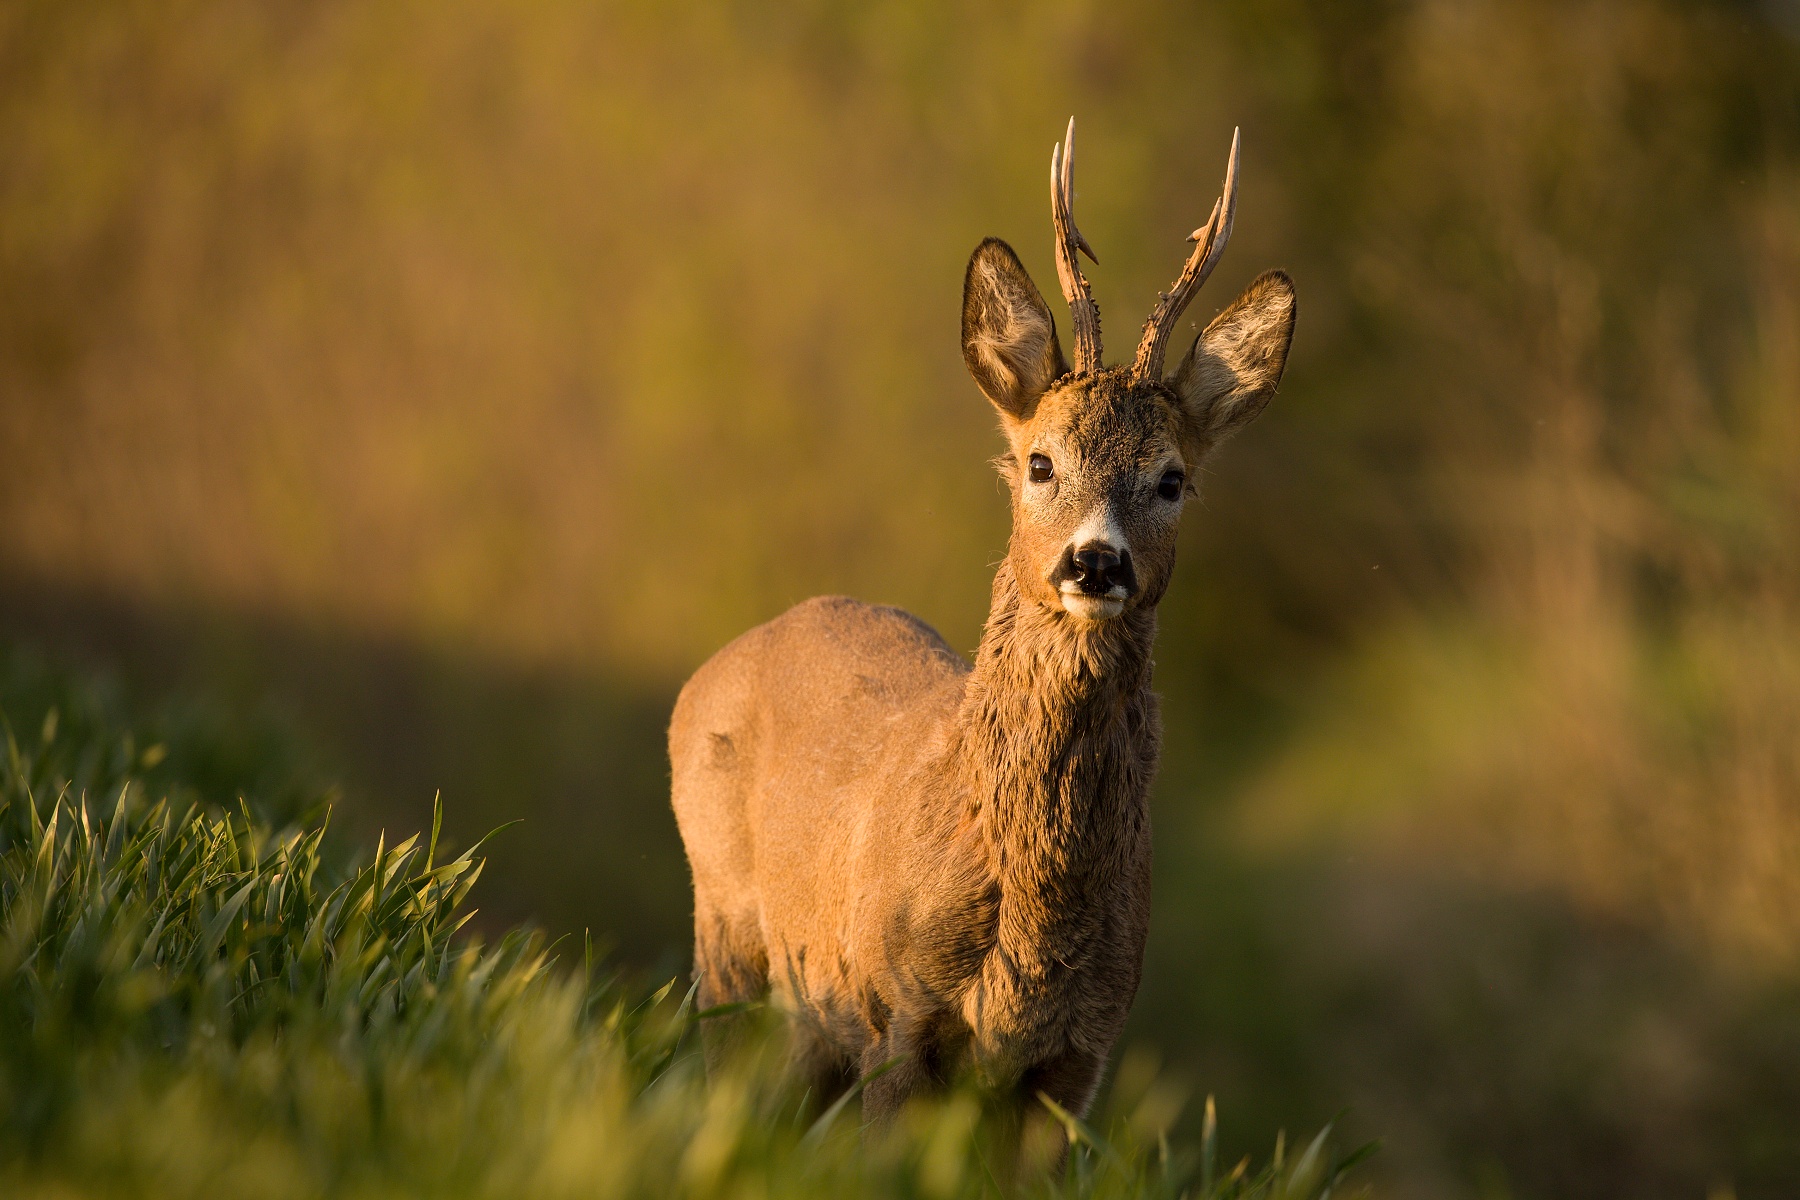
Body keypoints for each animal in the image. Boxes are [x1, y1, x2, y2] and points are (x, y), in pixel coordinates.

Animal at [669, 119, 1288, 1144]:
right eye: (1040, 462)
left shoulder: (1078, 1059)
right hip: (732, 937)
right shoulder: (896, 1014)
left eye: (1171, 479)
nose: (1095, 562)